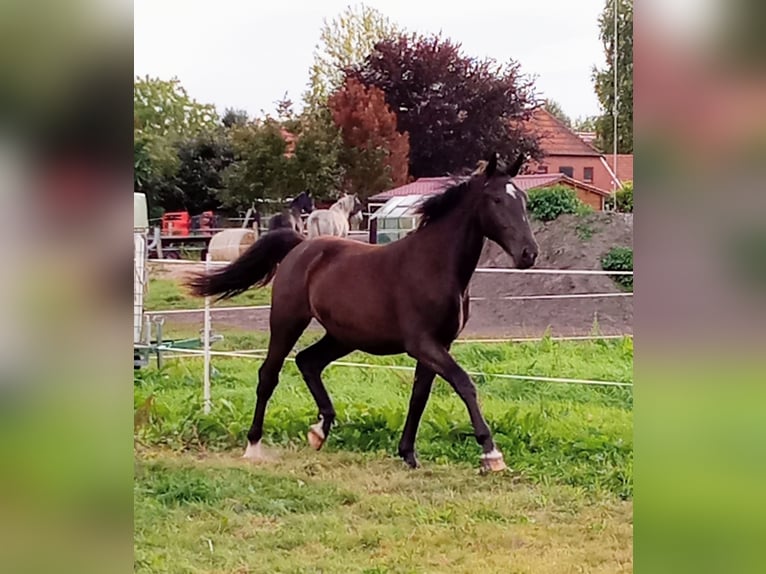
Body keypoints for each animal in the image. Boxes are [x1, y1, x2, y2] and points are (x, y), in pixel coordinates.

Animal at [188, 152, 538, 472]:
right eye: (496, 199)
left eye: (523, 200)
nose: (529, 254)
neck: (434, 266)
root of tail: (300, 244)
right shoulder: (423, 343)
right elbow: (464, 384)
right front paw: (491, 454)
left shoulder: (438, 345)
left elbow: (419, 396)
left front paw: (408, 454)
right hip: (288, 322)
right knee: (268, 375)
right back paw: (254, 444)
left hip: (343, 337)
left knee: (308, 362)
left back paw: (320, 430)